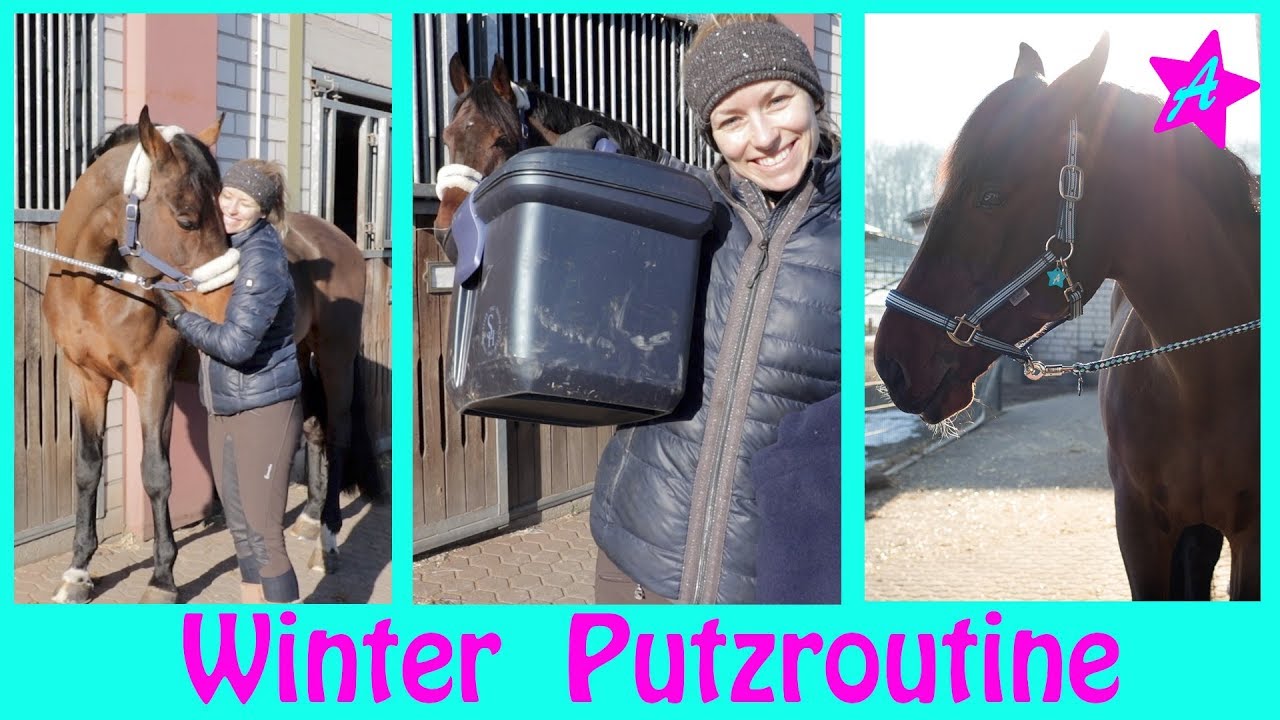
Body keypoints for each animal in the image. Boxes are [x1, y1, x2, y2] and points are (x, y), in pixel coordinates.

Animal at [42, 107, 377, 603]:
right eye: (186, 219)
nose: (226, 306)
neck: (95, 289)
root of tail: (337, 238)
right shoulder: (83, 378)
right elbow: (87, 469)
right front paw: (78, 572)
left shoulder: (153, 380)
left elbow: (156, 473)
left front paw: (162, 578)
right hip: (298, 357)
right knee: (314, 430)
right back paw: (308, 521)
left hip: (335, 355)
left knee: (337, 434)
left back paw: (328, 542)